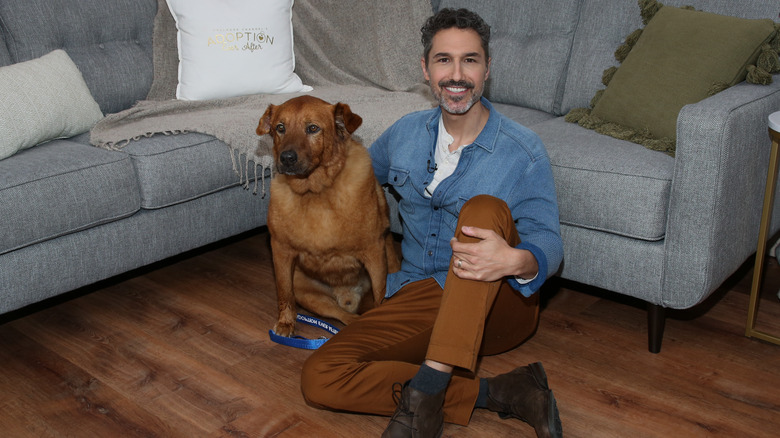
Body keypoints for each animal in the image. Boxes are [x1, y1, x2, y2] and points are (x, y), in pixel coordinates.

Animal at [258, 94, 402, 338]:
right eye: (280, 128)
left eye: (313, 128)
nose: (286, 158)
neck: (316, 191)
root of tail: (348, 297)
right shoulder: (281, 251)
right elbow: (284, 294)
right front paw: (286, 322)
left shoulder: (374, 251)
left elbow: (380, 293)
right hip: (308, 293)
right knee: (346, 317)